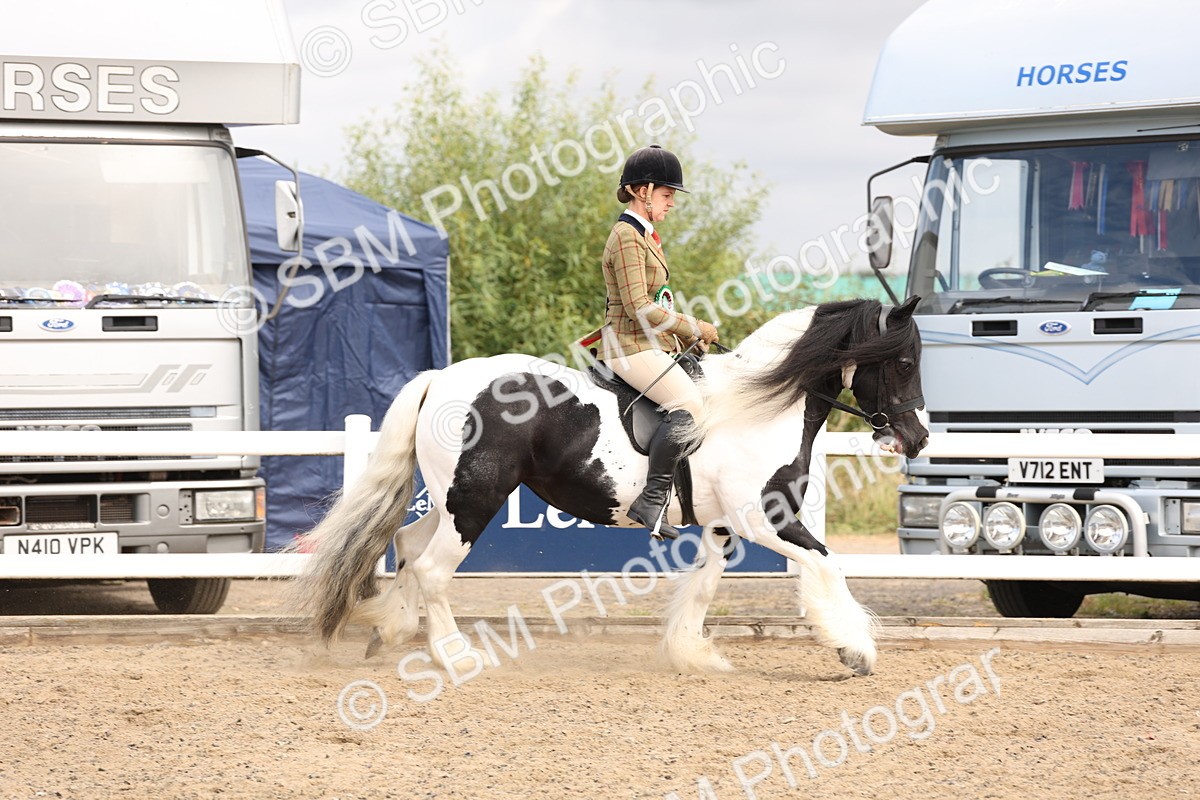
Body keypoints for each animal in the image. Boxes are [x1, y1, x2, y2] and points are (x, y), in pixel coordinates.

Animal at [290, 296, 928, 677]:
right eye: (902, 362)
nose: (917, 438)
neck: (757, 409)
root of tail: (442, 377)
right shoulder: (764, 520)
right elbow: (826, 564)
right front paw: (855, 649)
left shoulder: (724, 526)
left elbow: (705, 585)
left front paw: (693, 653)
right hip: (476, 500)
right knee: (431, 569)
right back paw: (456, 657)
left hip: (454, 500)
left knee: (408, 543)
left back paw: (390, 630)